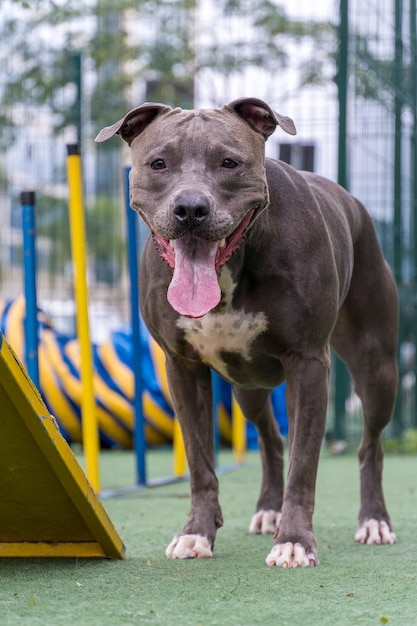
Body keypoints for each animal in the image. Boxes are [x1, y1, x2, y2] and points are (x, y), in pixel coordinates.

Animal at [96, 96, 398, 564]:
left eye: (229, 163)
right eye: (159, 163)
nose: (190, 208)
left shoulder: (308, 364)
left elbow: (304, 464)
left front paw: (294, 541)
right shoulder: (182, 369)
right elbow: (200, 462)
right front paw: (196, 533)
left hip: (377, 368)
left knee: (370, 444)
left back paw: (374, 521)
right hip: (247, 388)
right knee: (271, 439)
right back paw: (269, 511)